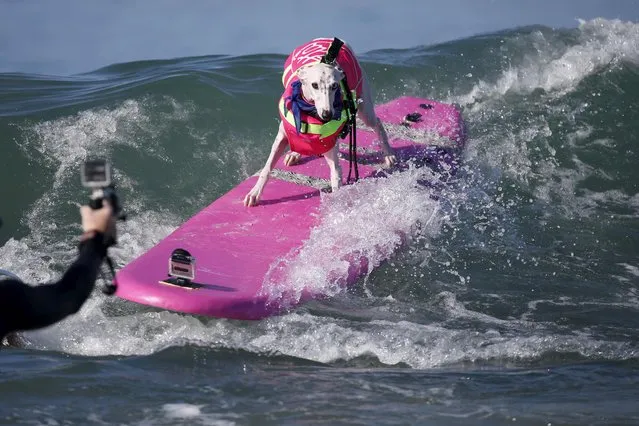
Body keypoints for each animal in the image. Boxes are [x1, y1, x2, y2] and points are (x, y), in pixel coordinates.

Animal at [244, 36, 398, 206]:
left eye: (335, 86)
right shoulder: (282, 136)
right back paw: (295, 153)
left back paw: (388, 154)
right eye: (315, 85)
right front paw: (254, 193)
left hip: (365, 108)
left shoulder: (330, 149)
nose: (327, 115)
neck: (308, 110)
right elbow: (267, 168)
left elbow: (336, 175)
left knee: (378, 123)